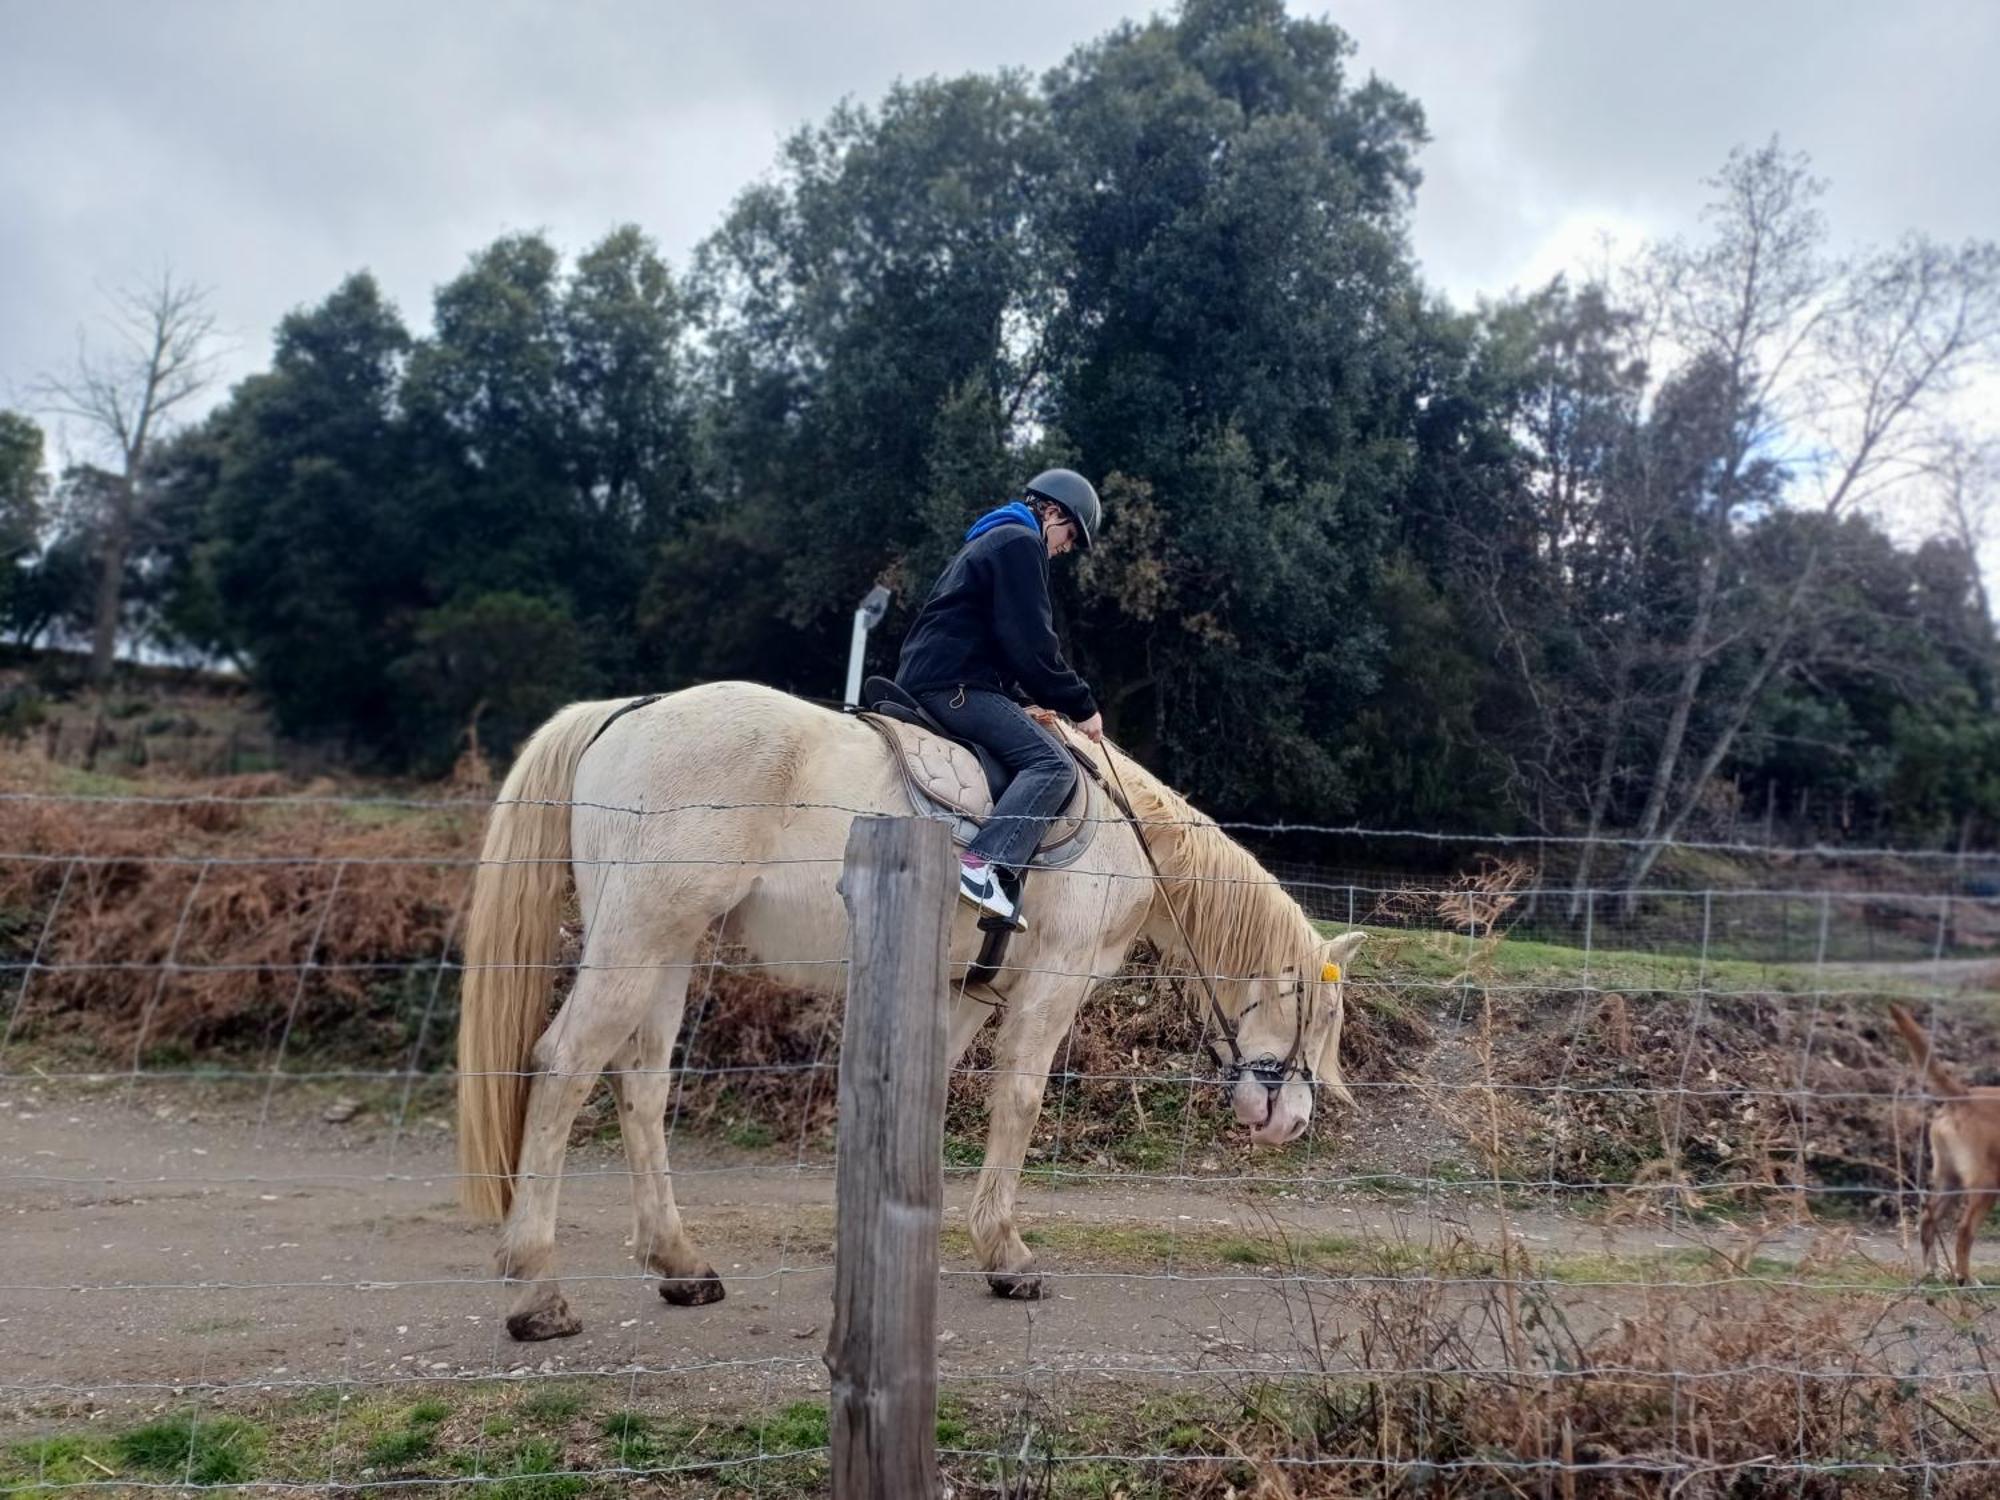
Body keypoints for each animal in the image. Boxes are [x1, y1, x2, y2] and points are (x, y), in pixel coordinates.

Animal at [458, 688, 1360, 1344]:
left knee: (640, 1087)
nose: (1293, 1122)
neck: (1130, 838)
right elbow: (1019, 1103)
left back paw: (679, 1264)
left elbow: (929, 1096)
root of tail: (625, 713)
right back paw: (536, 1289)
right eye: (1319, 1016)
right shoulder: (1050, 988)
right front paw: (1005, 1255)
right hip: (639, 937)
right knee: (564, 1066)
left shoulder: (961, 993)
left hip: (669, 948)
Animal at [1888, 1004, 2000, 1288]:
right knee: (1964, 1231)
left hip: (1950, 1181)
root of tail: (1964, 1095)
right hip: (1985, 1186)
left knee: (1927, 1220)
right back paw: (1966, 1279)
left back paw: (1932, 1271)